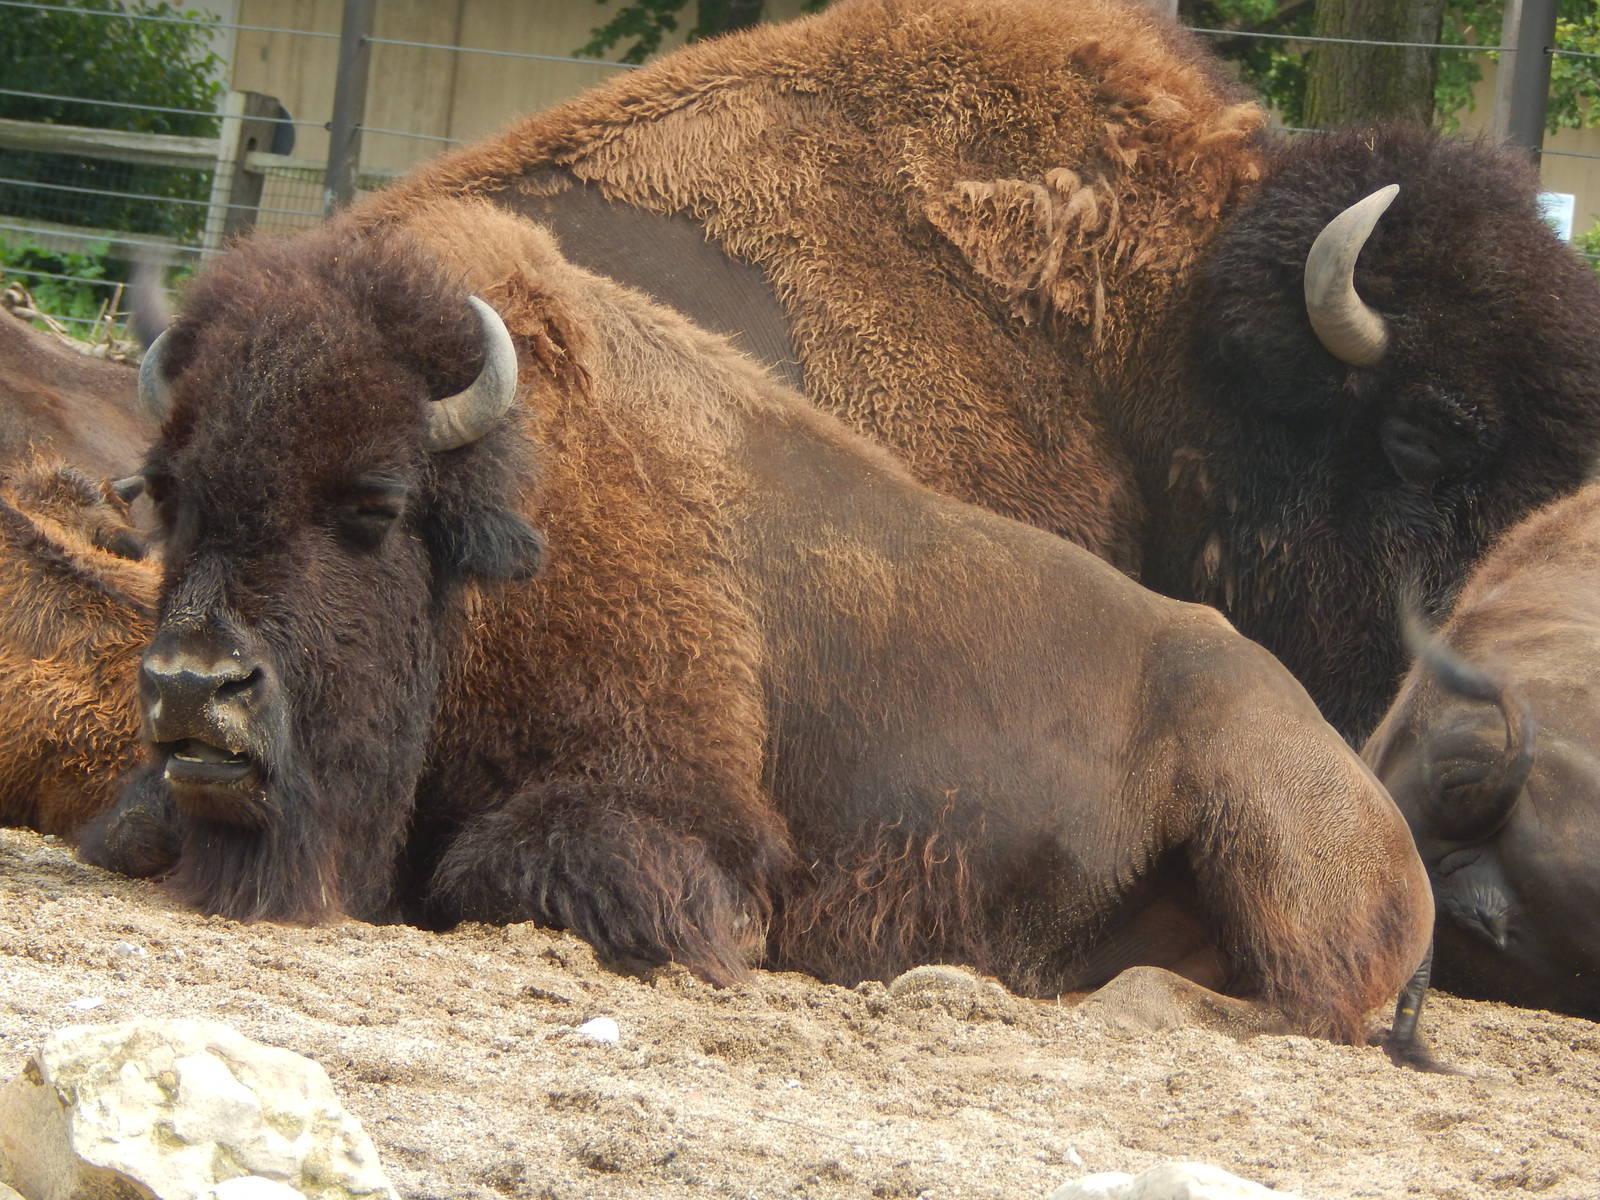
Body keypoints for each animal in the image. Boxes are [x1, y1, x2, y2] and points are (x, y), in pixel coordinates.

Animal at [82, 198, 1433, 1045]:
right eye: (167, 491)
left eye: (374, 502)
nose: (194, 687)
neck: (504, 534)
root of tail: (1381, 815)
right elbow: (124, 827)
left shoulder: (680, 821)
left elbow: (504, 870)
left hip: (1259, 820)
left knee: (1305, 1008)